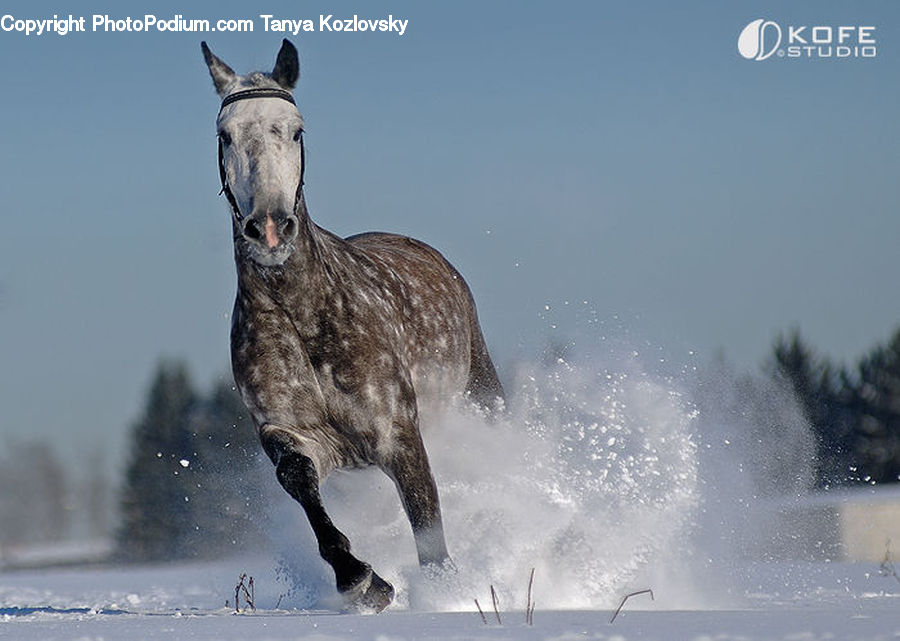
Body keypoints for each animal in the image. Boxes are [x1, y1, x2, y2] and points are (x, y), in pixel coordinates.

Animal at [201, 39, 504, 612]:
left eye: (296, 130)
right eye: (224, 134)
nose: (269, 228)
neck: (307, 318)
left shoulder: (399, 434)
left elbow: (427, 525)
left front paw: (444, 595)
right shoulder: (296, 435)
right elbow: (300, 482)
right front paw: (363, 581)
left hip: (481, 393)